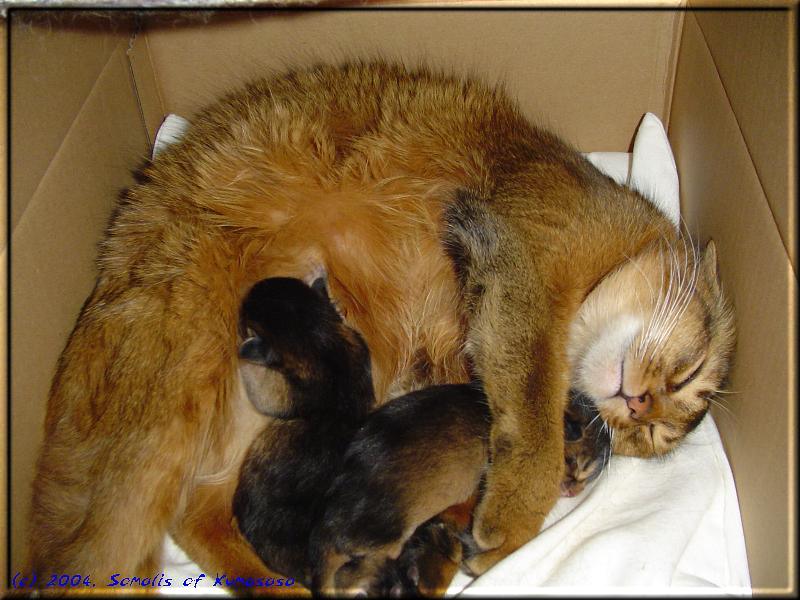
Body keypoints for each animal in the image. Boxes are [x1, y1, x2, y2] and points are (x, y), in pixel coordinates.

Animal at [29, 62, 732, 592]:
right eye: (689, 376)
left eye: (649, 437)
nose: (639, 408)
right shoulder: (518, 257)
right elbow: (532, 418)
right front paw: (511, 525)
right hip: (176, 383)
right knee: (124, 540)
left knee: (200, 511)